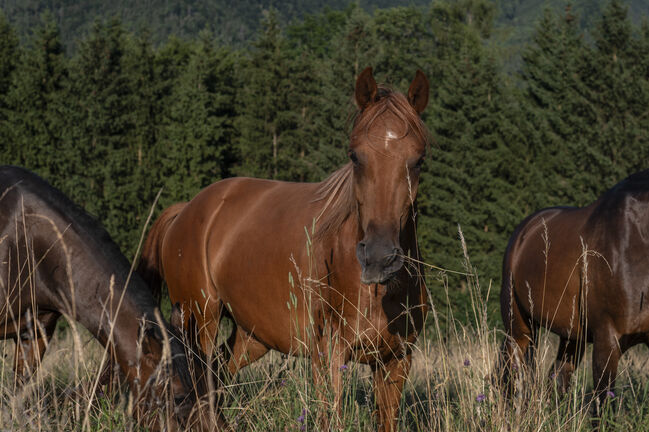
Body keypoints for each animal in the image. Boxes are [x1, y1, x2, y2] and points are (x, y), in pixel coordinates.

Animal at [137, 67, 430, 432]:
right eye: (355, 156)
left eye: (418, 160)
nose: (378, 258)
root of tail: (187, 210)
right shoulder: (328, 355)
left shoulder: (395, 360)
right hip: (200, 319)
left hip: (251, 337)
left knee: (218, 373)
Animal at [498, 169, 649, 412]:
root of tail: (524, 231)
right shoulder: (607, 340)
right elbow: (602, 405)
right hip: (519, 329)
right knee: (516, 376)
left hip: (571, 337)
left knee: (557, 378)